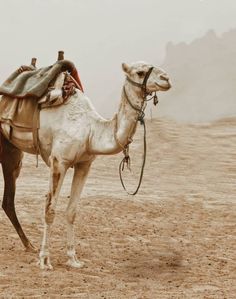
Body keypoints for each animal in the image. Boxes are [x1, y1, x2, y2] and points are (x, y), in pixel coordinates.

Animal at [0, 59, 171, 270]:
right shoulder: (59, 161)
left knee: (8, 200)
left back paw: (29, 245)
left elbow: (72, 211)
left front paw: (73, 259)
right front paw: (45, 260)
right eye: (139, 72)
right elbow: (50, 210)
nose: (166, 79)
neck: (90, 130)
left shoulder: (84, 165)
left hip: (13, 152)